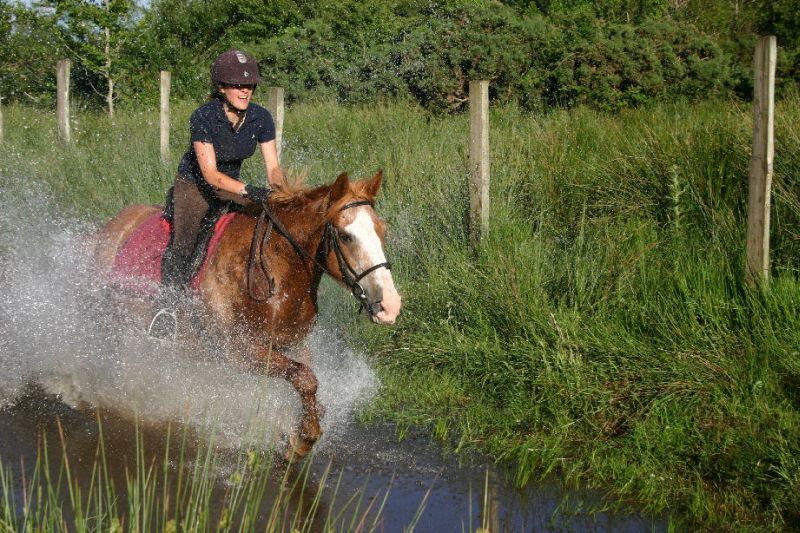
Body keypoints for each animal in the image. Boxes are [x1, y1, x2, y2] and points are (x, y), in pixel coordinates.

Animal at [92, 171, 400, 458]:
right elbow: (304, 378)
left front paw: (298, 431)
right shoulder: (238, 351)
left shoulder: (293, 343)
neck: (277, 270)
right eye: (346, 236)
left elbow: (309, 381)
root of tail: (112, 226)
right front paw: (303, 440)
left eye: (382, 230)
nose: (390, 305)